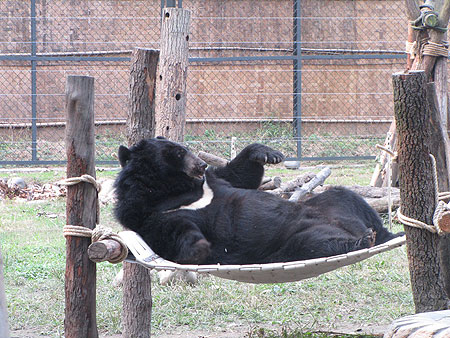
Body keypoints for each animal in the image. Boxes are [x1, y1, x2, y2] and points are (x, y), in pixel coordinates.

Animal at [114, 136, 402, 266]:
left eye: (184, 148)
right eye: (176, 153)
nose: (201, 164)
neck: (173, 189)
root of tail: (350, 227)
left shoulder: (212, 182)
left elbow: (238, 175)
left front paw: (269, 154)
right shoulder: (149, 213)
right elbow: (172, 232)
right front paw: (200, 247)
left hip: (331, 203)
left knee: (347, 196)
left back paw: (388, 234)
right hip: (291, 242)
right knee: (316, 245)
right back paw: (363, 240)